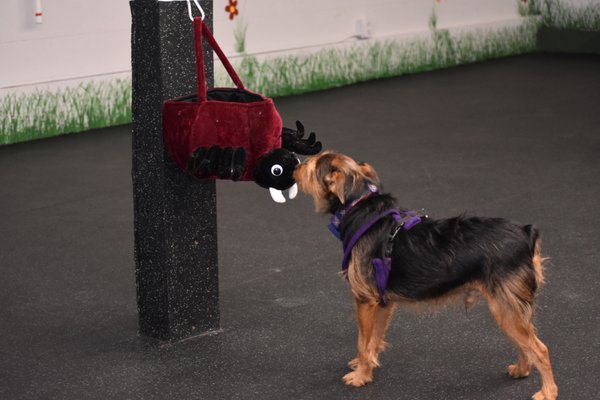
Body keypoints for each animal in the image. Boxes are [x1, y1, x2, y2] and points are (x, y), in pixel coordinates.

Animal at [296, 151, 556, 400]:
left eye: (311, 164)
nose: (297, 165)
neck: (357, 205)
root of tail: (525, 233)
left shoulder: (365, 301)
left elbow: (362, 341)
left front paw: (361, 376)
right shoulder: (382, 303)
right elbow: (373, 339)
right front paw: (367, 365)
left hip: (506, 307)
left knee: (540, 349)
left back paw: (548, 392)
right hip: (510, 309)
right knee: (526, 343)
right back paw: (521, 370)